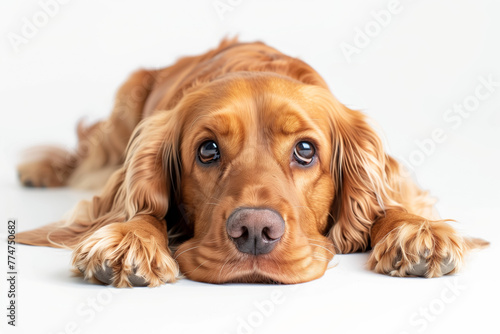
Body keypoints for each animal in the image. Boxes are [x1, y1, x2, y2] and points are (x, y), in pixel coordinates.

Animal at [16, 37, 488, 286]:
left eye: (305, 150)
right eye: (207, 150)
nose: (256, 232)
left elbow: (387, 202)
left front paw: (415, 230)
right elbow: (139, 208)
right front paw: (132, 238)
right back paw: (38, 170)